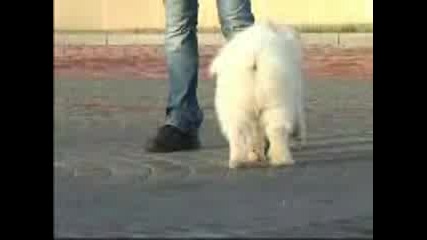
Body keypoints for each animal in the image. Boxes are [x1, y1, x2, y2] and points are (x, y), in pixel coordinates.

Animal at [209, 21, 306, 169]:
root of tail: (254, 56)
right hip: (276, 100)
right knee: (277, 129)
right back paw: (283, 160)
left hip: (236, 103)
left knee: (238, 131)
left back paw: (238, 160)